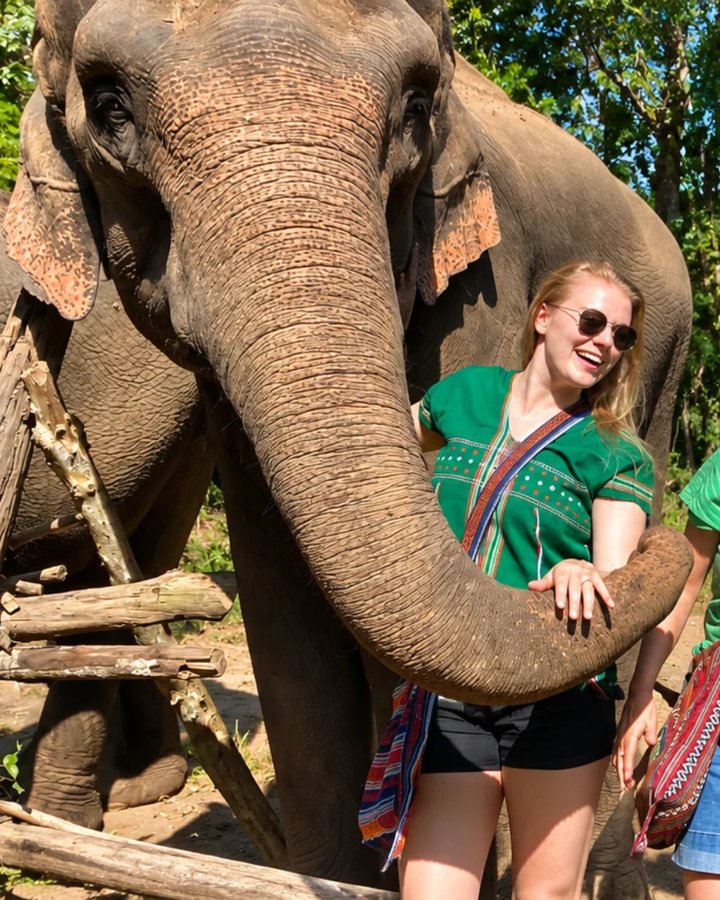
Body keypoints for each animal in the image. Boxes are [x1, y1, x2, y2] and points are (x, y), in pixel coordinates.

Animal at [3, 0, 694, 892]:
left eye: (415, 108)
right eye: (109, 107)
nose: (666, 546)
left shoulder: (484, 288)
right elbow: (284, 618)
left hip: (666, 357)